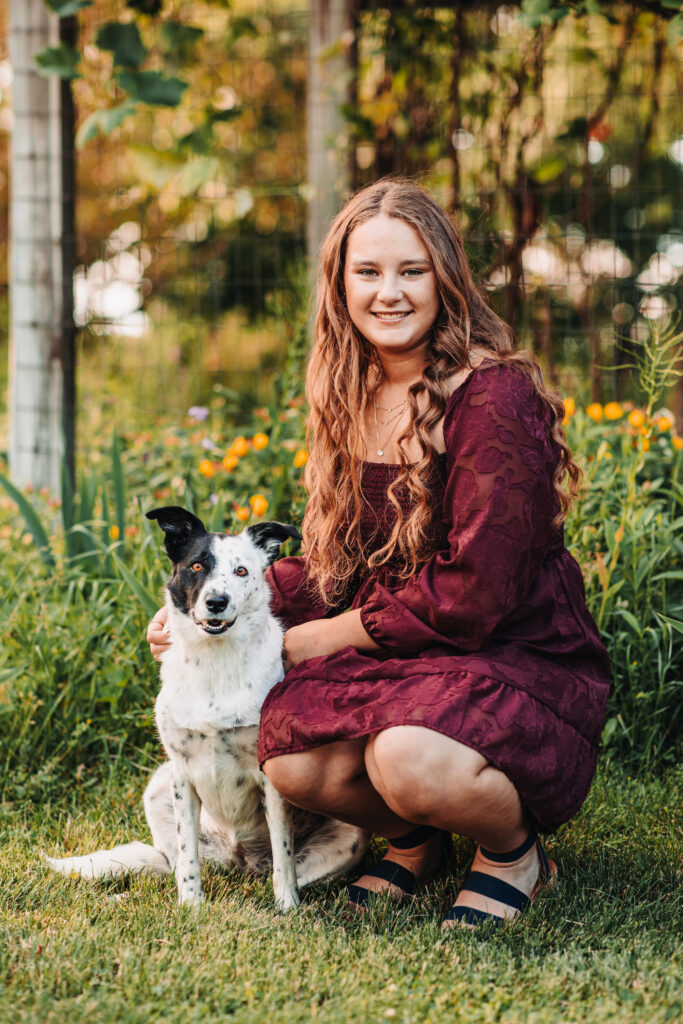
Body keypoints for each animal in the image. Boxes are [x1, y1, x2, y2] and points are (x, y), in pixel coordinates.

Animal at [46, 507, 368, 909]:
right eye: (198, 566)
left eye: (241, 571)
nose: (217, 602)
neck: (215, 661)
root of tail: (242, 861)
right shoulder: (181, 775)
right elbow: (187, 857)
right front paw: (190, 906)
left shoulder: (270, 778)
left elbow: (284, 853)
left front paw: (287, 907)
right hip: (158, 786)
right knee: (169, 863)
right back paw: (125, 897)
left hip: (351, 837)